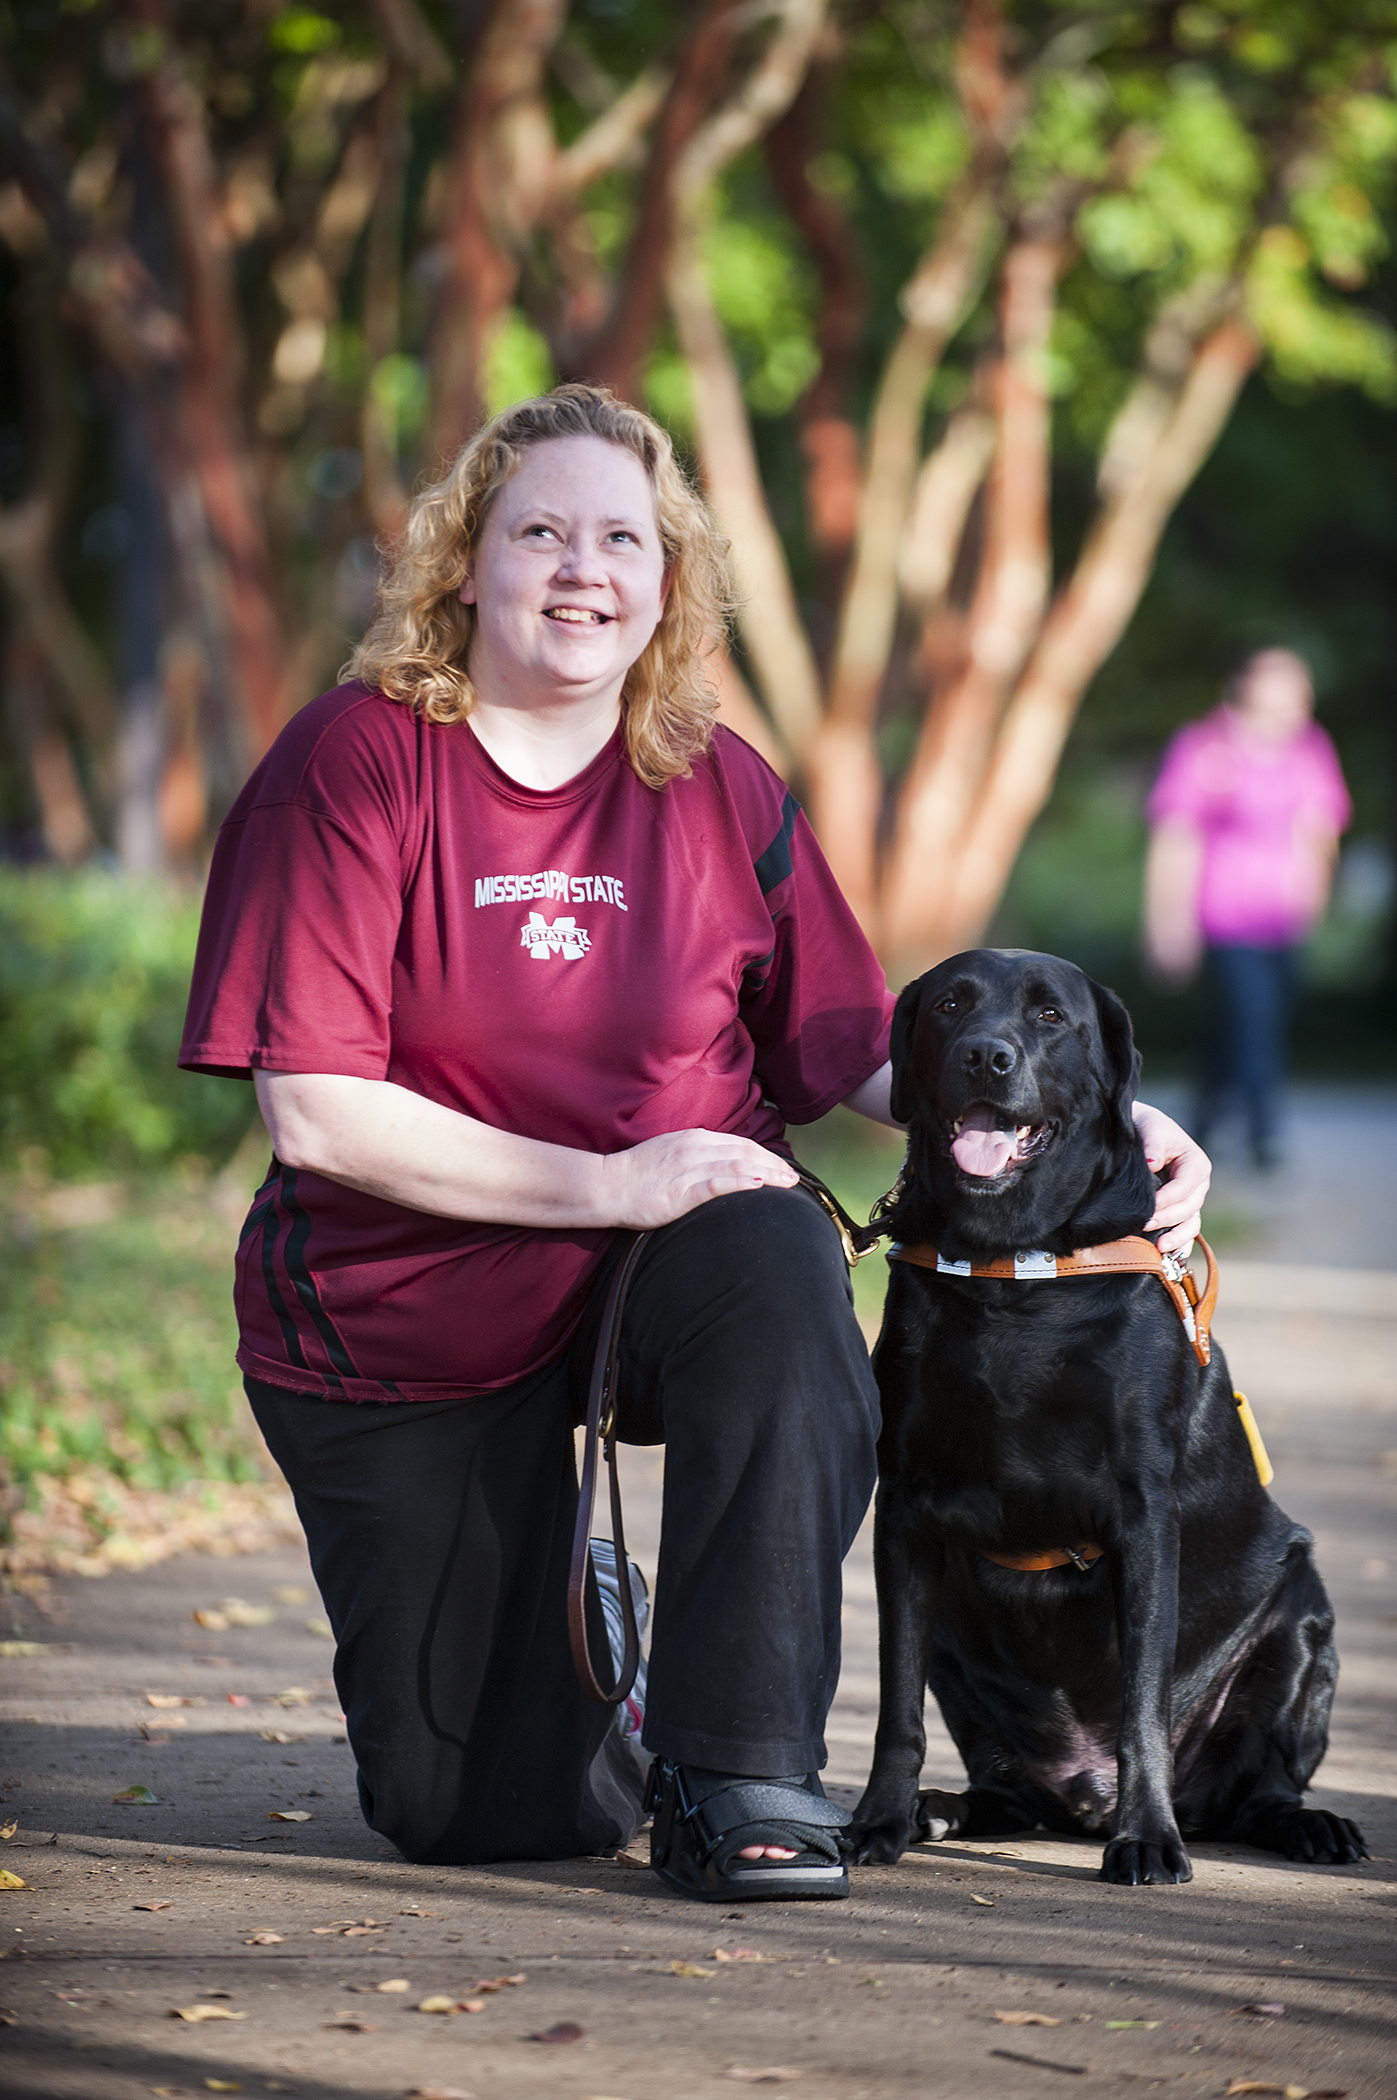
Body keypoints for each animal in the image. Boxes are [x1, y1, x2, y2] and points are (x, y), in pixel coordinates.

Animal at [848, 953, 1361, 1889]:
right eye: (948, 1005)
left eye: (1050, 1016)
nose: (985, 1057)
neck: (1010, 1268)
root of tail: (1078, 1797)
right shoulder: (902, 1512)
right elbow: (894, 1707)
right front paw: (880, 1820)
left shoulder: (1142, 1518)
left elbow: (1141, 1708)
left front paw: (1147, 1839)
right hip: (955, 1640)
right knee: (1005, 1792)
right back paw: (943, 1810)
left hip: (1302, 1622)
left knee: (1262, 1791)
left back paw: (1303, 1825)